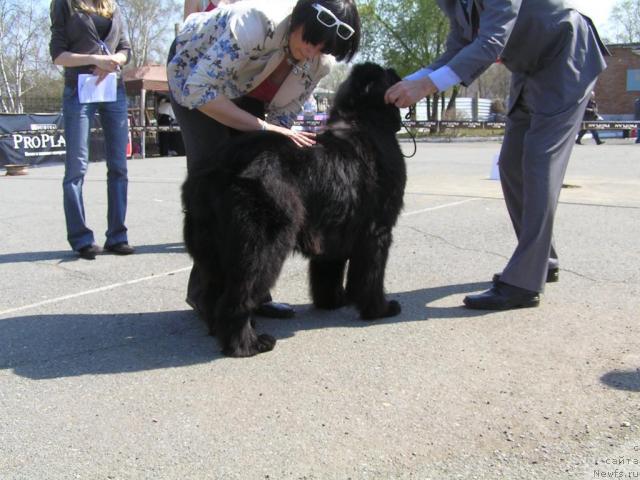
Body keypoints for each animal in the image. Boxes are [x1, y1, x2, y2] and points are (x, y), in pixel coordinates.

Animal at [182, 62, 408, 356]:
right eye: (389, 75)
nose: (396, 70)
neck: (366, 120)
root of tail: (219, 169)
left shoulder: (333, 228)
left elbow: (328, 270)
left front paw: (333, 301)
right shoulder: (377, 230)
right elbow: (371, 275)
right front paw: (380, 309)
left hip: (210, 246)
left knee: (212, 291)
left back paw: (217, 330)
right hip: (263, 243)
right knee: (237, 297)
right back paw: (248, 343)